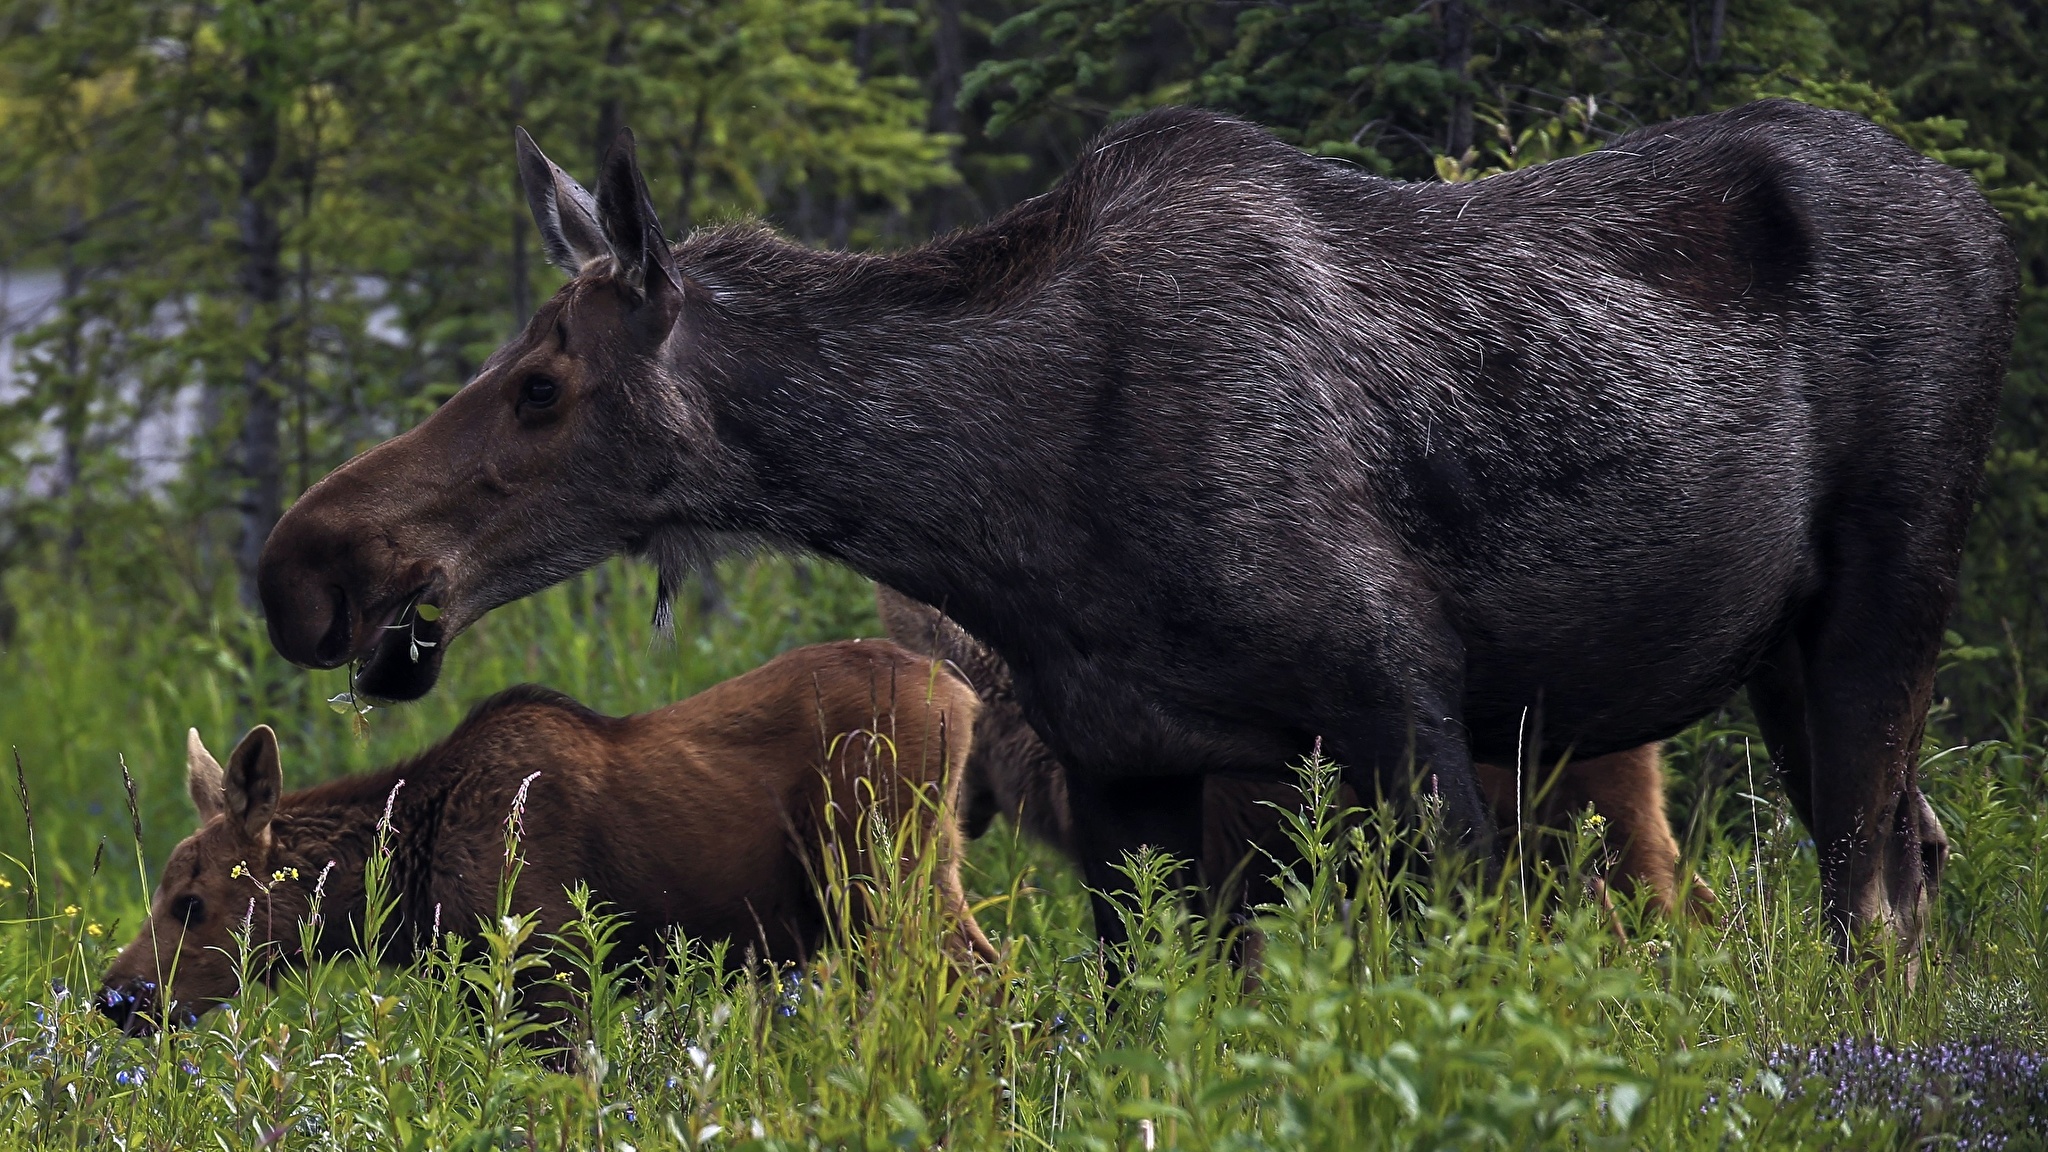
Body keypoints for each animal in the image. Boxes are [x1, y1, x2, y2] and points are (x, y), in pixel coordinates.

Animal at [97, 635, 991, 1033]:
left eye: (189, 901)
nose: (116, 996)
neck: (409, 900)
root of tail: (963, 690)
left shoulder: (550, 967)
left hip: (890, 871)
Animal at [260, 98, 2015, 963]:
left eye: (543, 386)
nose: (304, 568)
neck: (1011, 517)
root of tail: (1989, 214)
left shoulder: (1405, 716)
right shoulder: (1130, 780)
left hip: (1891, 582)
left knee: (1870, 895)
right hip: (1780, 650)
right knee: (1921, 853)